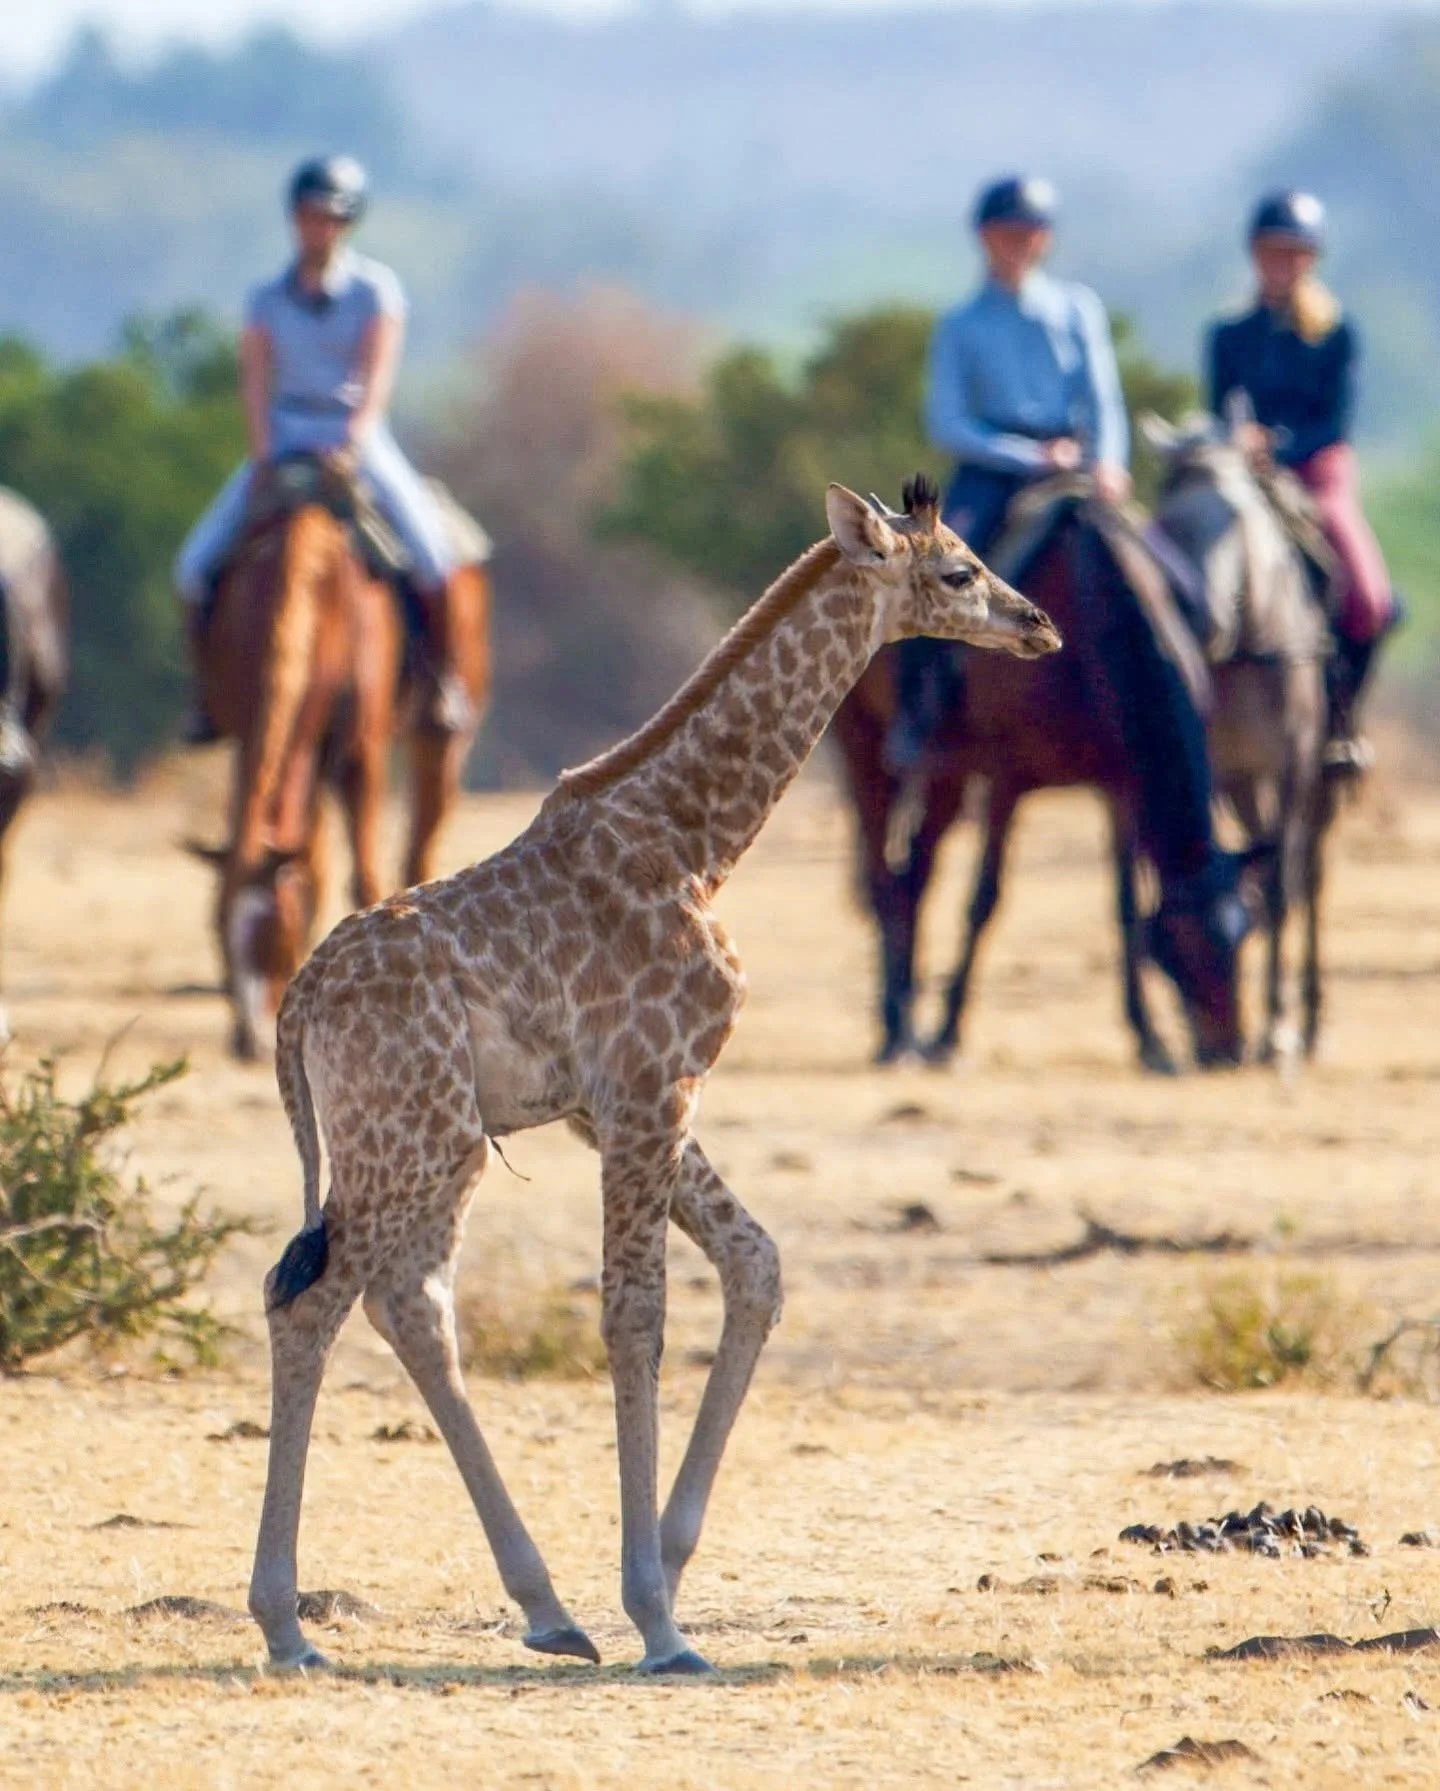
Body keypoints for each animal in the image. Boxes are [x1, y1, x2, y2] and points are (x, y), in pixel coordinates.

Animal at [249, 475, 1061, 1676]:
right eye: (959, 569)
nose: (1037, 624)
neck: (696, 843)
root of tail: (295, 1006)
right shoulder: (647, 1088)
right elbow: (635, 1315)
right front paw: (660, 1619)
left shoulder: (621, 1103)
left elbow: (757, 1265)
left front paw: (669, 1568)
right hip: (412, 1140)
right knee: (315, 1303)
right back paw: (291, 1625)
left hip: (432, 1145)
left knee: (406, 1301)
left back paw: (542, 1609)